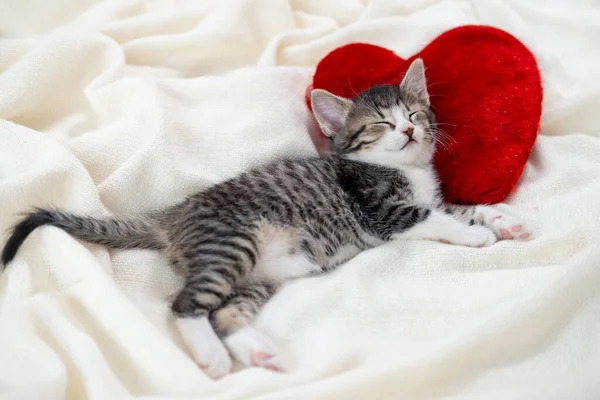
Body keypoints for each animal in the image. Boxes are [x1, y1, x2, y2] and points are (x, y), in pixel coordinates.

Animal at [2, 58, 532, 378]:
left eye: (416, 114)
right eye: (382, 124)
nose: (407, 130)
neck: (405, 169)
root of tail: (172, 215)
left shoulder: (428, 198)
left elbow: (459, 208)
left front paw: (504, 219)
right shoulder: (381, 209)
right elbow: (432, 218)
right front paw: (476, 238)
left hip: (259, 275)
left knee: (224, 310)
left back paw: (257, 350)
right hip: (231, 243)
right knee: (185, 305)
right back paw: (212, 356)